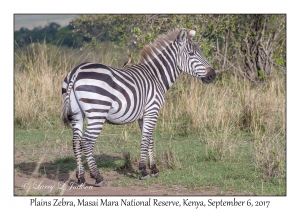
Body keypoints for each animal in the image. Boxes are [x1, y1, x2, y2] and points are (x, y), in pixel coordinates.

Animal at [61, 28, 216, 187]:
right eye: (191, 54)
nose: (213, 75)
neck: (156, 76)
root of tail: (76, 72)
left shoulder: (144, 115)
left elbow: (149, 139)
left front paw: (153, 169)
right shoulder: (152, 110)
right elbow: (146, 139)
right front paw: (144, 171)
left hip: (77, 114)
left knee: (76, 142)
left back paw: (81, 178)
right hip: (97, 113)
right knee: (86, 142)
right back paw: (97, 177)